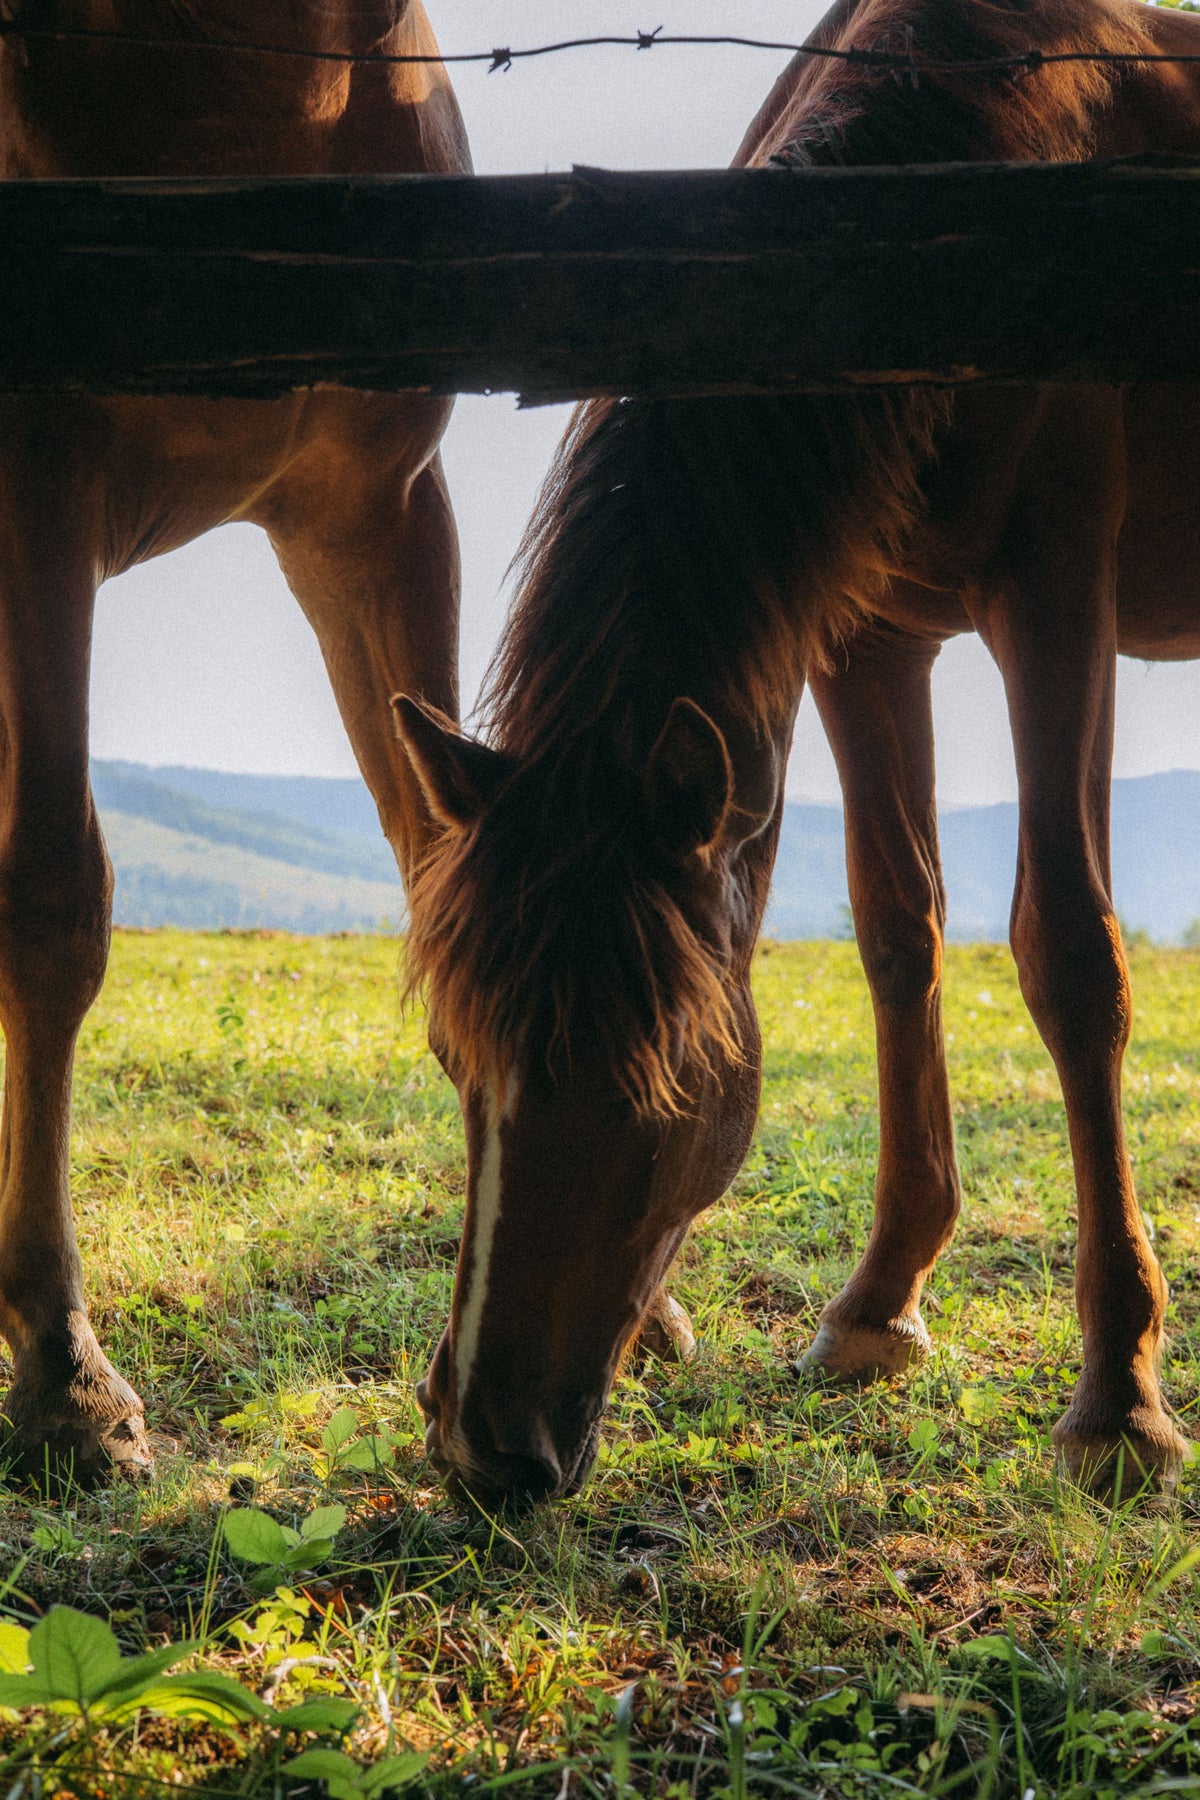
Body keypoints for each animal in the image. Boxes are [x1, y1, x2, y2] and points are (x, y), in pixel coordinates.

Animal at [396, 0, 1200, 1507]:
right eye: (461, 1059)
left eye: (656, 1077)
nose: (486, 1447)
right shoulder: (862, 636)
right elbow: (897, 929)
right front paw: (880, 1303)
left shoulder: (1055, 599)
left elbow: (1069, 953)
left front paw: (1119, 1394)